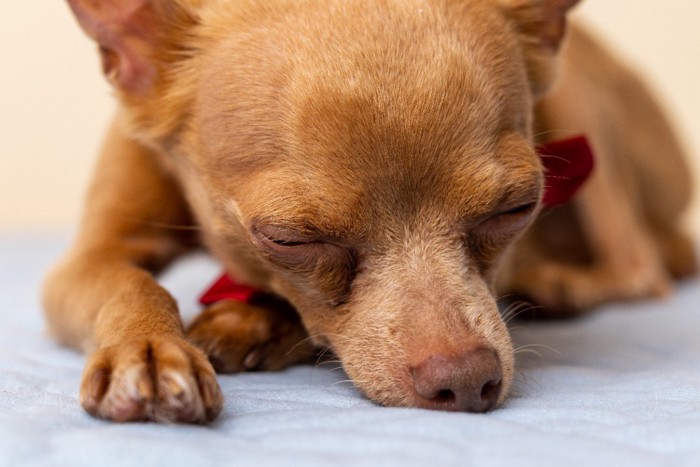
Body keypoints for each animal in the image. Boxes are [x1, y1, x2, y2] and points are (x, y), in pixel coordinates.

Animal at [43, 0, 696, 424]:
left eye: (516, 210)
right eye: (290, 239)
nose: (465, 381)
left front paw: (251, 320)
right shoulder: (88, 259)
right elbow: (131, 284)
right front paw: (148, 349)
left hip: (586, 103)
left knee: (644, 269)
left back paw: (559, 287)